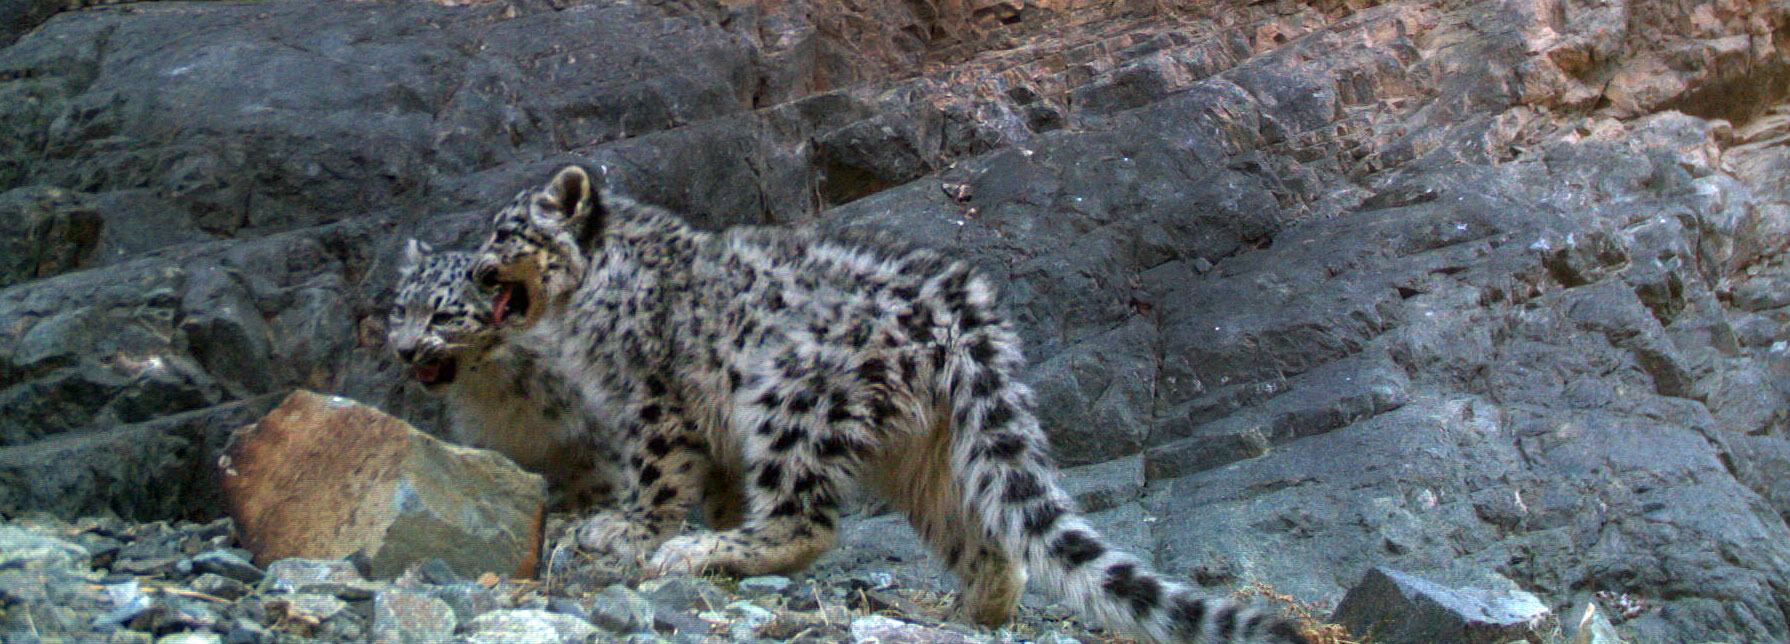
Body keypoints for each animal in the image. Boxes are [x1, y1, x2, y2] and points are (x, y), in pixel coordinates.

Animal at [466, 165, 1311, 644]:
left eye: (505, 233)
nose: (473, 271)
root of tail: (963, 306)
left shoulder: (651, 398)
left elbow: (657, 475)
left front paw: (631, 531)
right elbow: (716, 484)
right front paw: (689, 524)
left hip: (790, 393)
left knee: (806, 520)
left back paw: (713, 552)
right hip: (928, 454)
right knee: (988, 542)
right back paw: (962, 613)